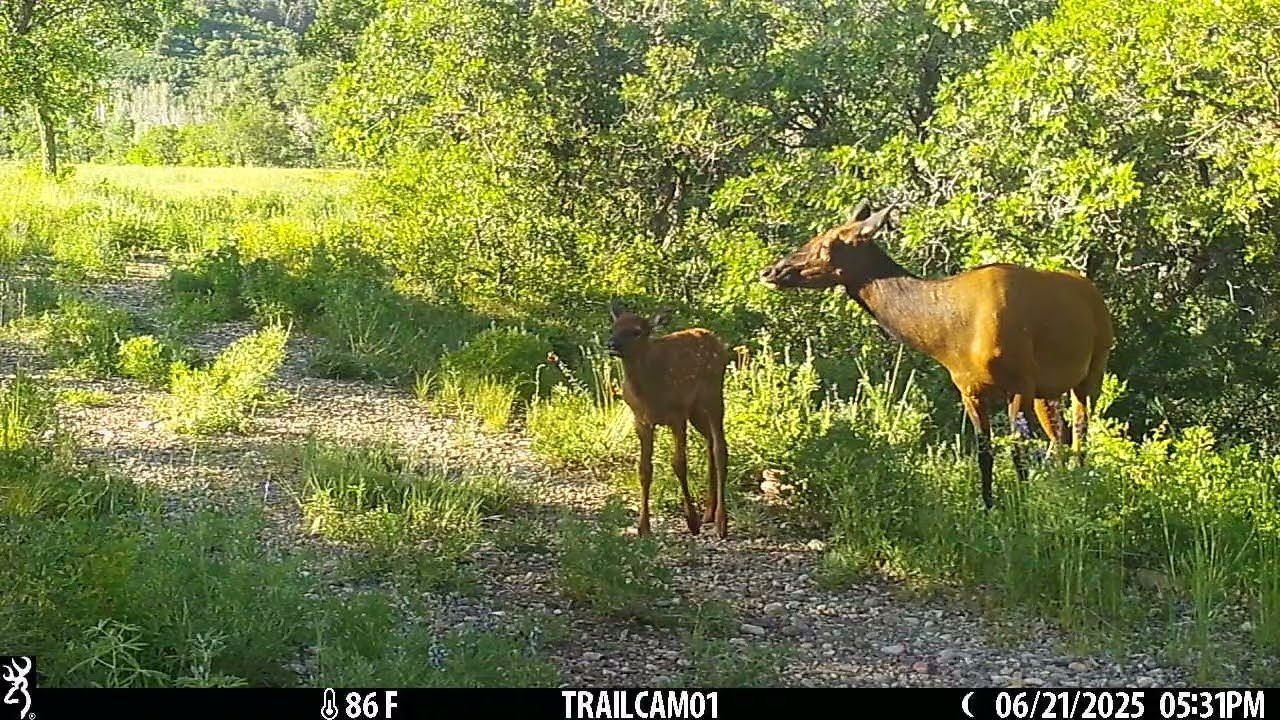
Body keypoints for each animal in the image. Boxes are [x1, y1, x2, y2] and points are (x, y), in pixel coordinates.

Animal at [606, 302, 731, 539]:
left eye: (636, 331)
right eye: (613, 328)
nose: (611, 344)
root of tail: (715, 338)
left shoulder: (677, 415)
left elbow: (679, 464)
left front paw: (692, 522)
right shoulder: (641, 421)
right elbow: (644, 469)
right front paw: (643, 527)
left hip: (713, 395)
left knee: (720, 447)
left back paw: (721, 522)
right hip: (695, 410)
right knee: (710, 444)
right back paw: (709, 513)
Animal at [758, 199, 1114, 510]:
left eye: (826, 245)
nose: (770, 271)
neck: (949, 335)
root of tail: (1095, 294)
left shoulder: (1020, 383)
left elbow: (1017, 451)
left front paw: (1023, 506)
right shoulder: (969, 389)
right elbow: (984, 453)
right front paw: (989, 507)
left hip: (1093, 368)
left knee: (1081, 431)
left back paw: (1081, 483)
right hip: (1047, 391)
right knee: (1061, 435)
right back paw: (1063, 482)